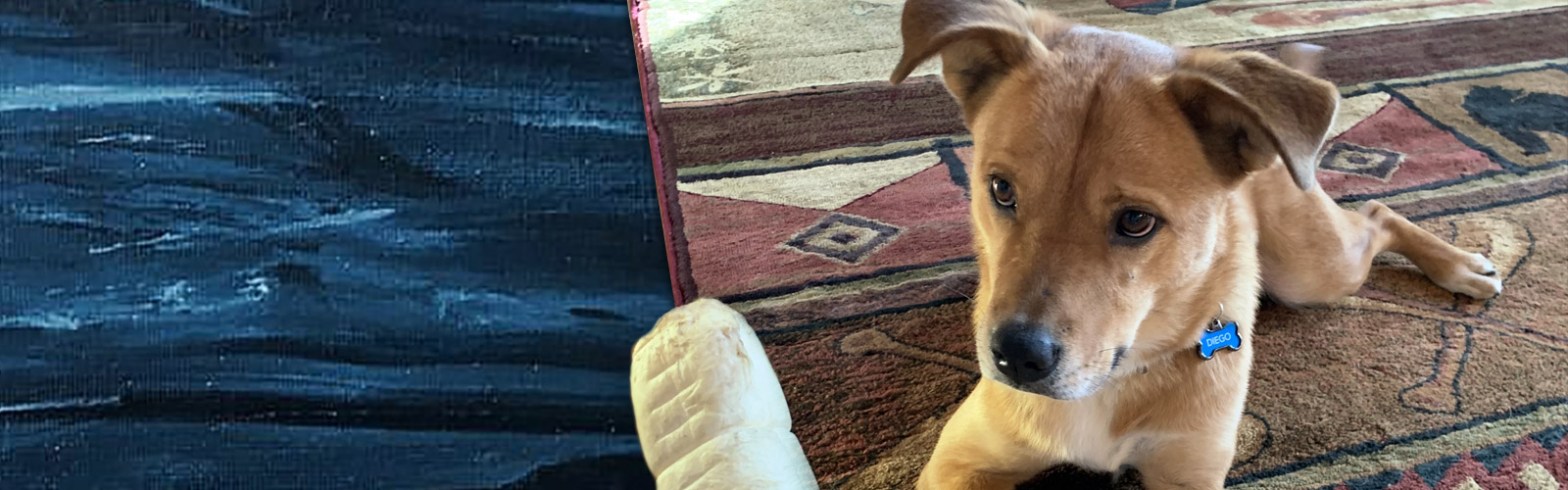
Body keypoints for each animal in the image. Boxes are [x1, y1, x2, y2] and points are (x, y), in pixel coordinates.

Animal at [887, 1, 1503, 488]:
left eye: (1137, 221)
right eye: (1001, 189)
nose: (1015, 358)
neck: (1114, 383)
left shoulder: (1188, 469)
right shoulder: (962, 461)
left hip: (1313, 271)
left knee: (1377, 215)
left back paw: (1460, 266)